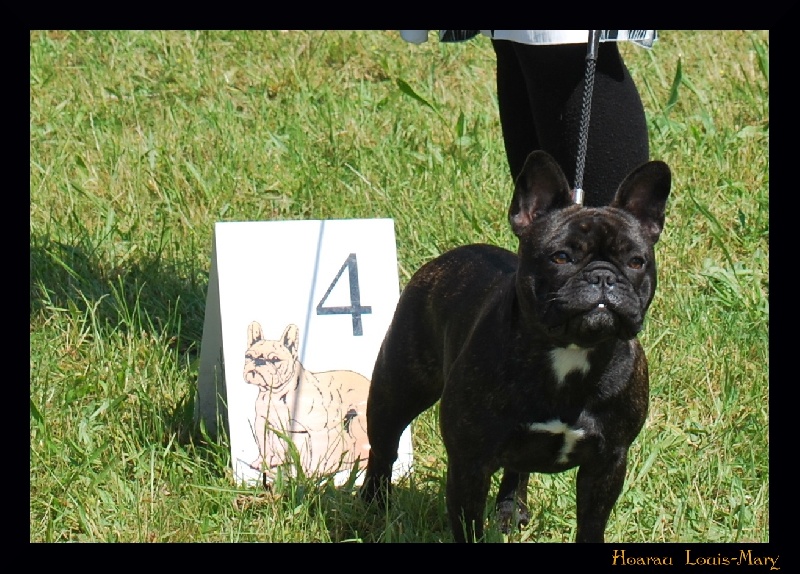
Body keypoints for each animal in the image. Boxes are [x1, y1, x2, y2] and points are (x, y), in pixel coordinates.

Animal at [243, 321, 371, 477]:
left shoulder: (317, 431)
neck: (276, 393)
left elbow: (316, 455)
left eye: (275, 360)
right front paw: (264, 462)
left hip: (361, 422)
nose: (259, 362)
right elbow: (264, 444)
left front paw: (312, 473)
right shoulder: (262, 422)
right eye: (248, 356)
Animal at [360, 150, 671, 542]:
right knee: (383, 448)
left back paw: (510, 510)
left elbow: (591, 523)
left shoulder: (608, 462)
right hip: (398, 389)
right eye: (561, 257)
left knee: (517, 469)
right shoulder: (469, 463)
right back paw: (373, 506)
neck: (570, 350)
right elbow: (468, 527)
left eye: (636, 262)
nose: (603, 276)